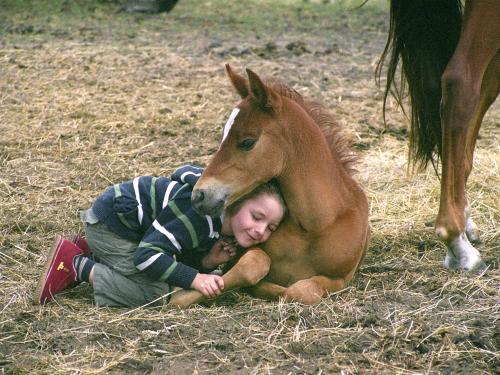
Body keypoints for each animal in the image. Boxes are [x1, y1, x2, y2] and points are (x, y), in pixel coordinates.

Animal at [170, 65, 370, 308]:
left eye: (247, 142)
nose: (199, 195)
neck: (314, 224)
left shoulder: (341, 278)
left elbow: (301, 290)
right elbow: (255, 265)